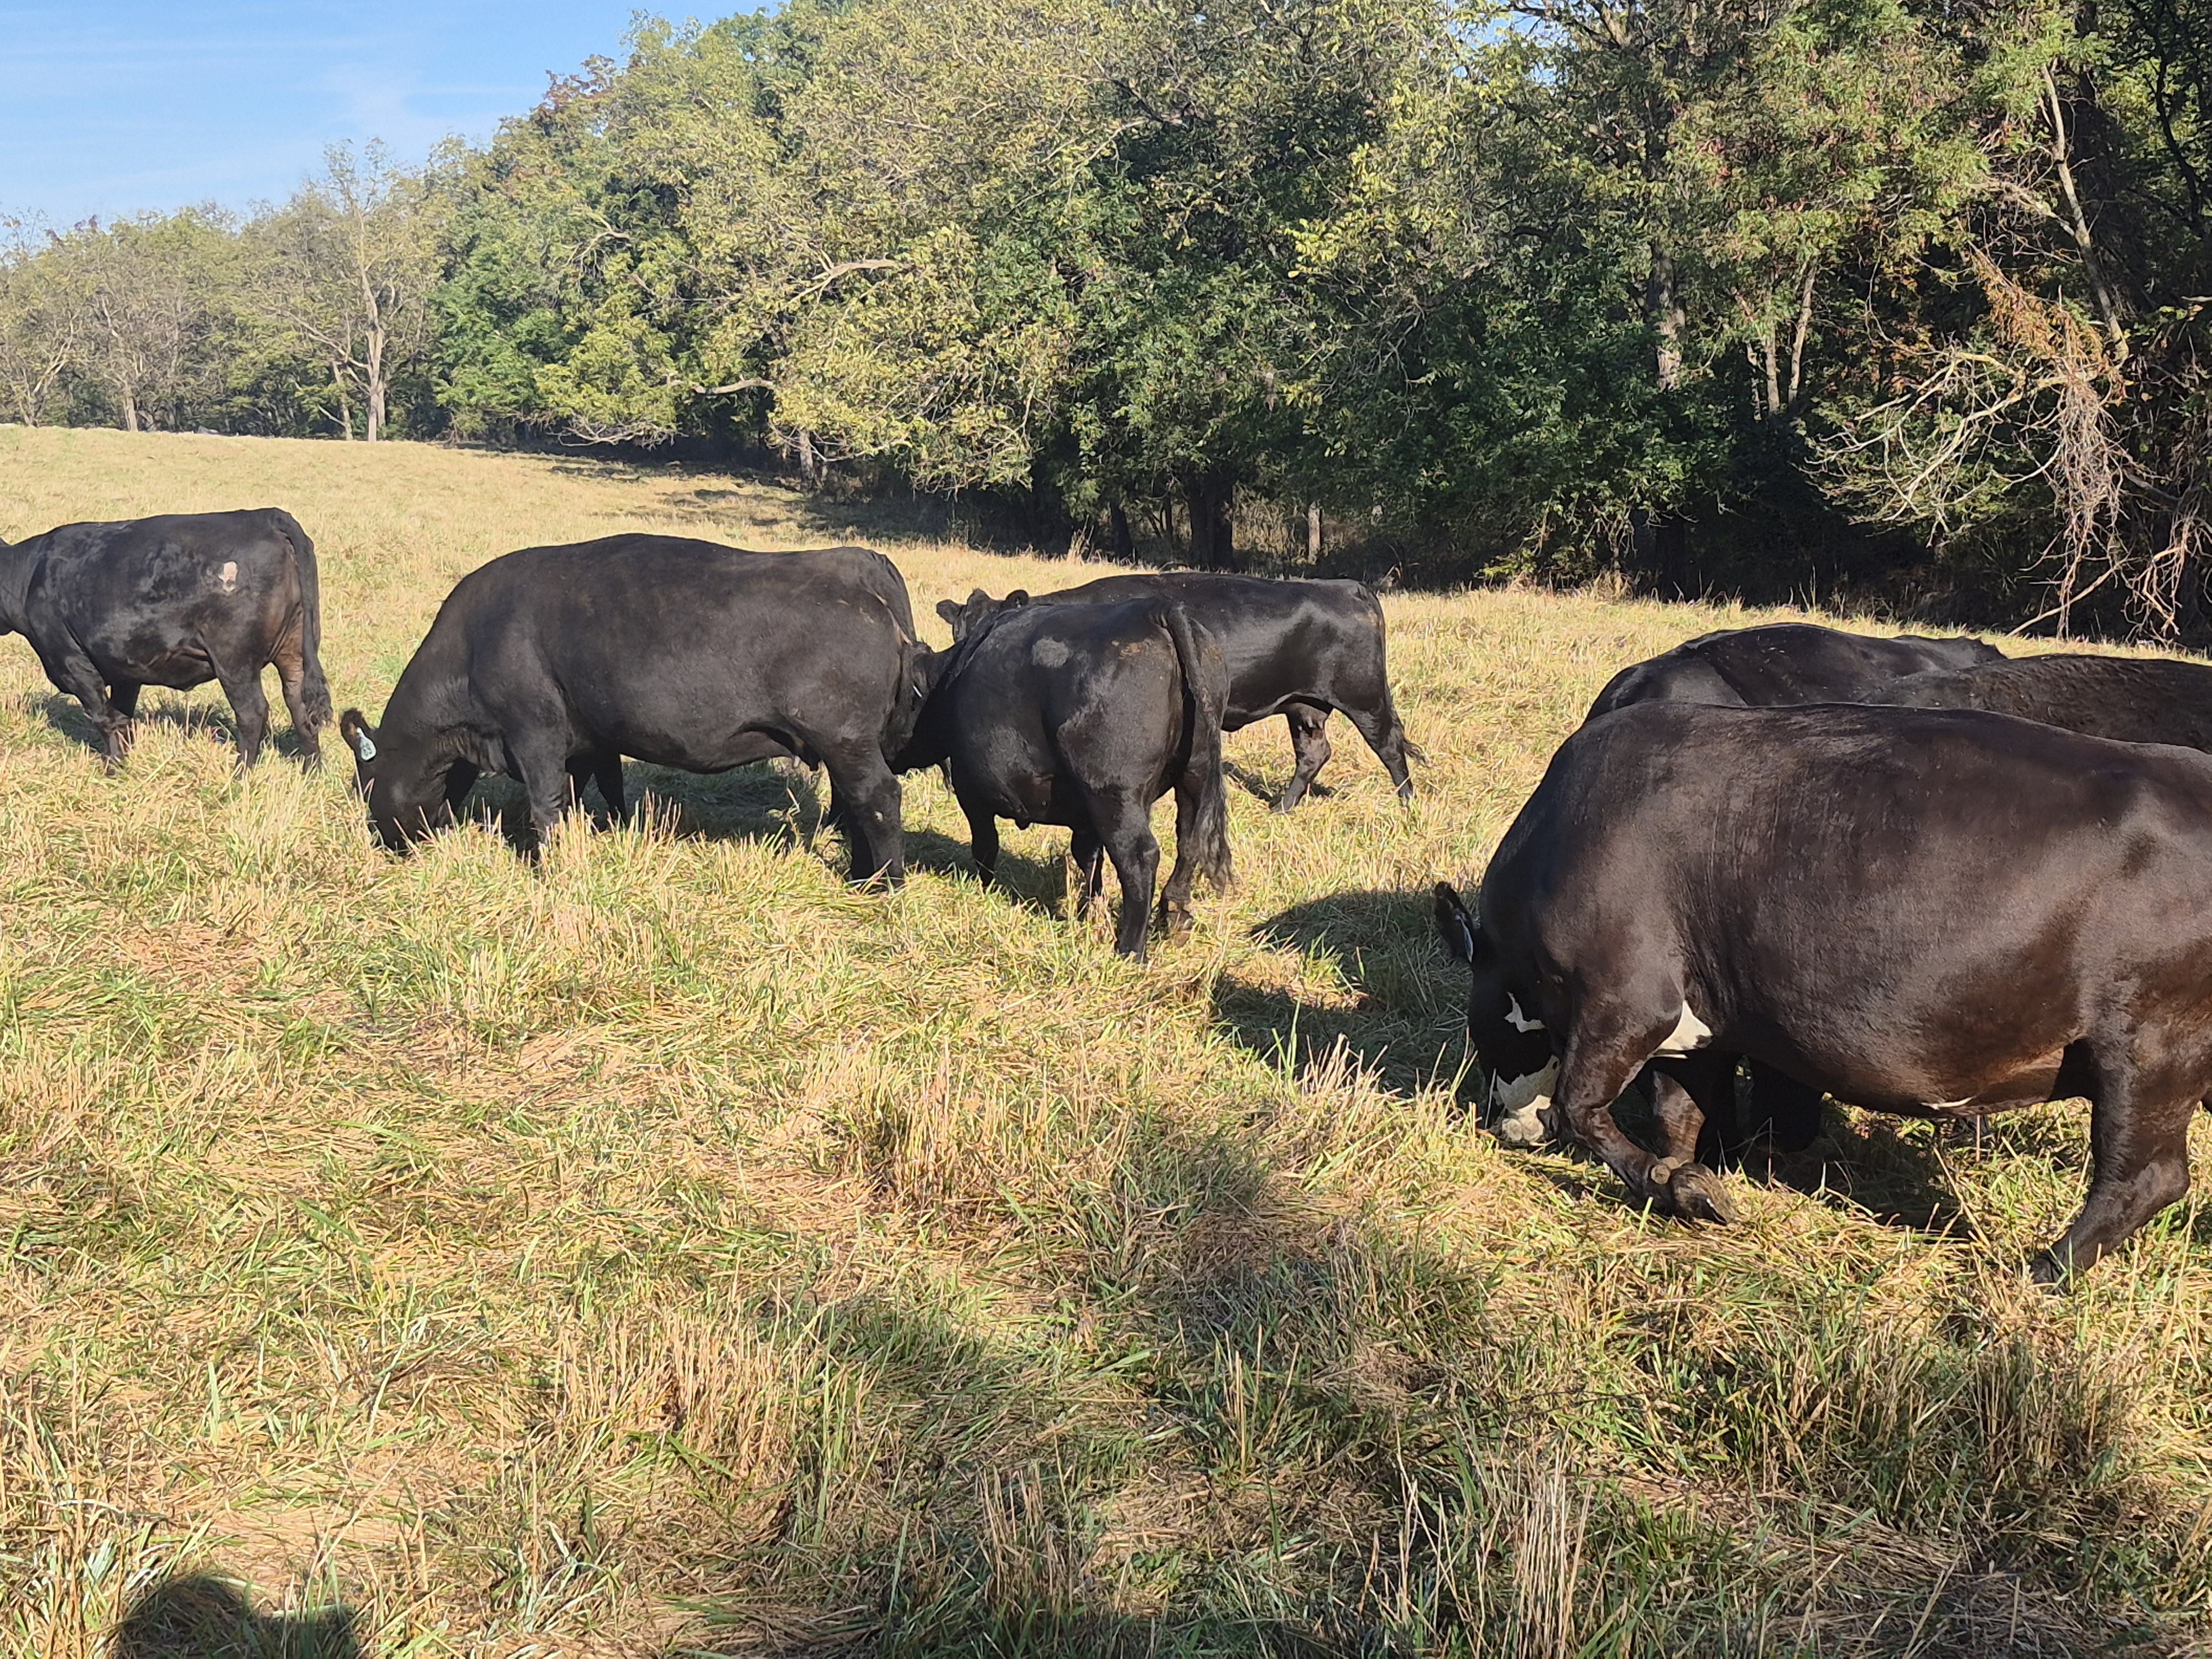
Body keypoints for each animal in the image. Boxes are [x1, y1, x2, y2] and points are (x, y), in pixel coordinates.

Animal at [0, 508, 330, 767]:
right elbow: (121, 716)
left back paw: (240, 775)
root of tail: (266, 515)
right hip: (295, 651)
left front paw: (114, 768)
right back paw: (311, 772)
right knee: (300, 706)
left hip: (235, 660)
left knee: (252, 712)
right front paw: (121, 763)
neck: (30, 575)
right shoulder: (125, 668)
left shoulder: (71, 662)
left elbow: (103, 717)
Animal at [337, 536, 921, 879]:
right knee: (857, 803)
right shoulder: (591, 741)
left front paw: (553, 871)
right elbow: (600, 791)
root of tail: (859, 570)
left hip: (844, 739)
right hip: (849, 745)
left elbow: (546, 805)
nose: (383, 845)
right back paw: (861, 871)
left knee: (879, 798)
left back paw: (883, 883)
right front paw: (612, 835)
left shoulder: (534, 732)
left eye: (367, 784)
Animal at [899, 597, 1233, 957]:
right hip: (1194, 772)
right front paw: (1090, 910)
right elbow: (1088, 856)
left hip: (1113, 791)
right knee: (1189, 840)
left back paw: (1129, 949)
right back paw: (1175, 915)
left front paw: (984, 889)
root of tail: (1153, 608)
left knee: (1139, 856)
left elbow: (985, 845)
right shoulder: (1084, 813)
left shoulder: (971, 789)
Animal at [936, 572, 1422, 810]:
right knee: (1314, 754)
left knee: (1390, 745)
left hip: (1364, 696)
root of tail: (1347, 586)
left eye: (997, 627)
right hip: (1304, 705)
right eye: (960, 631)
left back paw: (1407, 804)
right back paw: (1283, 808)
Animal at [1434, 699, 2212, 1283]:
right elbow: (1678, 1117)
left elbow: (1583, 1109)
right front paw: (1684, 1185)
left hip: (2148, 1048)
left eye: (1485, 1026)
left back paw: (2043, 1271)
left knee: (2146, 1177)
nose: (1499, 1122)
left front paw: (1677, 1187)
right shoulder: (1698, 1028)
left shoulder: (1623, 999)